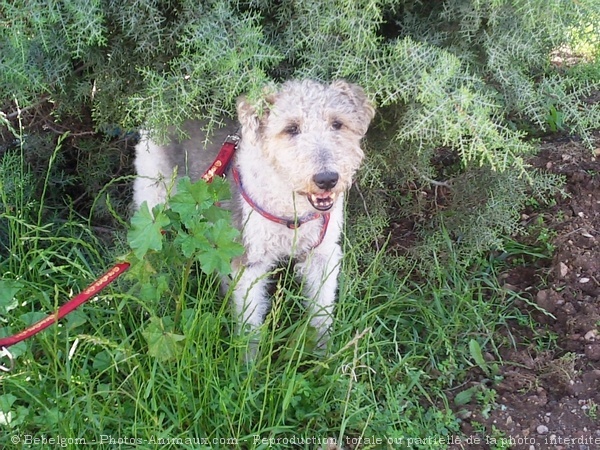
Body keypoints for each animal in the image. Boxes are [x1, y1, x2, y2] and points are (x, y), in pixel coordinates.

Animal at [134, 81, 372, 356]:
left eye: (337, 124)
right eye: (291, 128)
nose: (327, 179)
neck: (291, 208)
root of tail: (164, 103)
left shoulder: (322, 256)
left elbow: (321, 315)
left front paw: (323, 357)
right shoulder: (250, 262)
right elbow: (250, 326)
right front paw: (249, 364)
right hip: (152, 202)